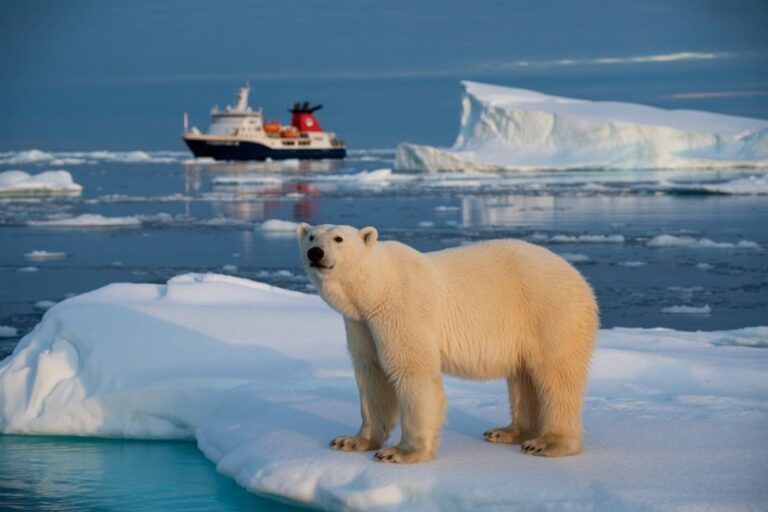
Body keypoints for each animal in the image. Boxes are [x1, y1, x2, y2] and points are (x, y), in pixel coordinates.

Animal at [296, 223, 598, 464]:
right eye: (311, 236)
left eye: (338, 238)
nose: (316, 253)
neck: (376, 289)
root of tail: (578, 276)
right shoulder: (360, 324)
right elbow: (371, 376)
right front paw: (351, 440)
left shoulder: (402, 311)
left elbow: (413, 374)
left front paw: (401, 452)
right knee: (522, 377)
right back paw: (507, 431)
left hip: (548, 311)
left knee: (556, 375)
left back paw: (547, 443)